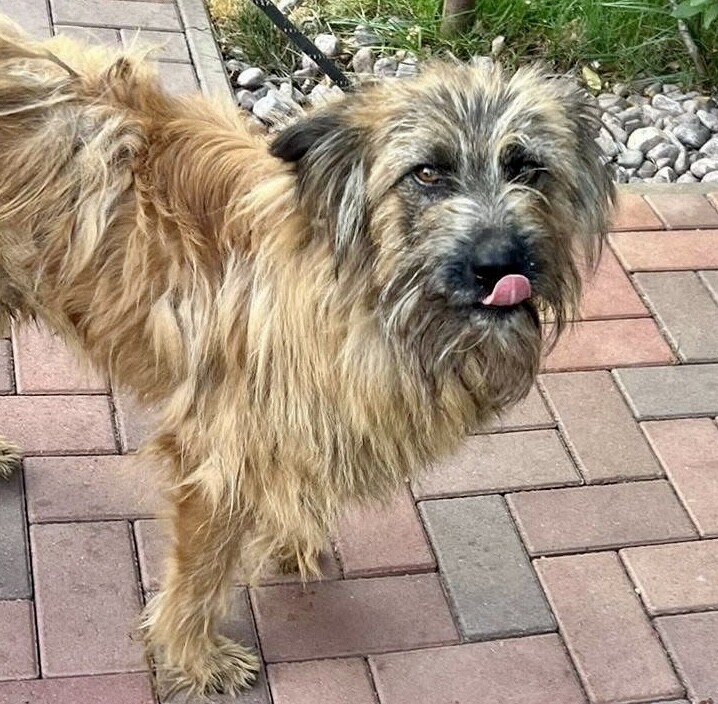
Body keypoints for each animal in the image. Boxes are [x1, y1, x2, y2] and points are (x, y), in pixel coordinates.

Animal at [0, 17, 614, 697]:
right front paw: (197, 656)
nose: (501, 263)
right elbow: (201, 571)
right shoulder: (219, 450)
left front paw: (289, 537)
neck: (359, 287)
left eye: (528, 168)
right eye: (427, 173)